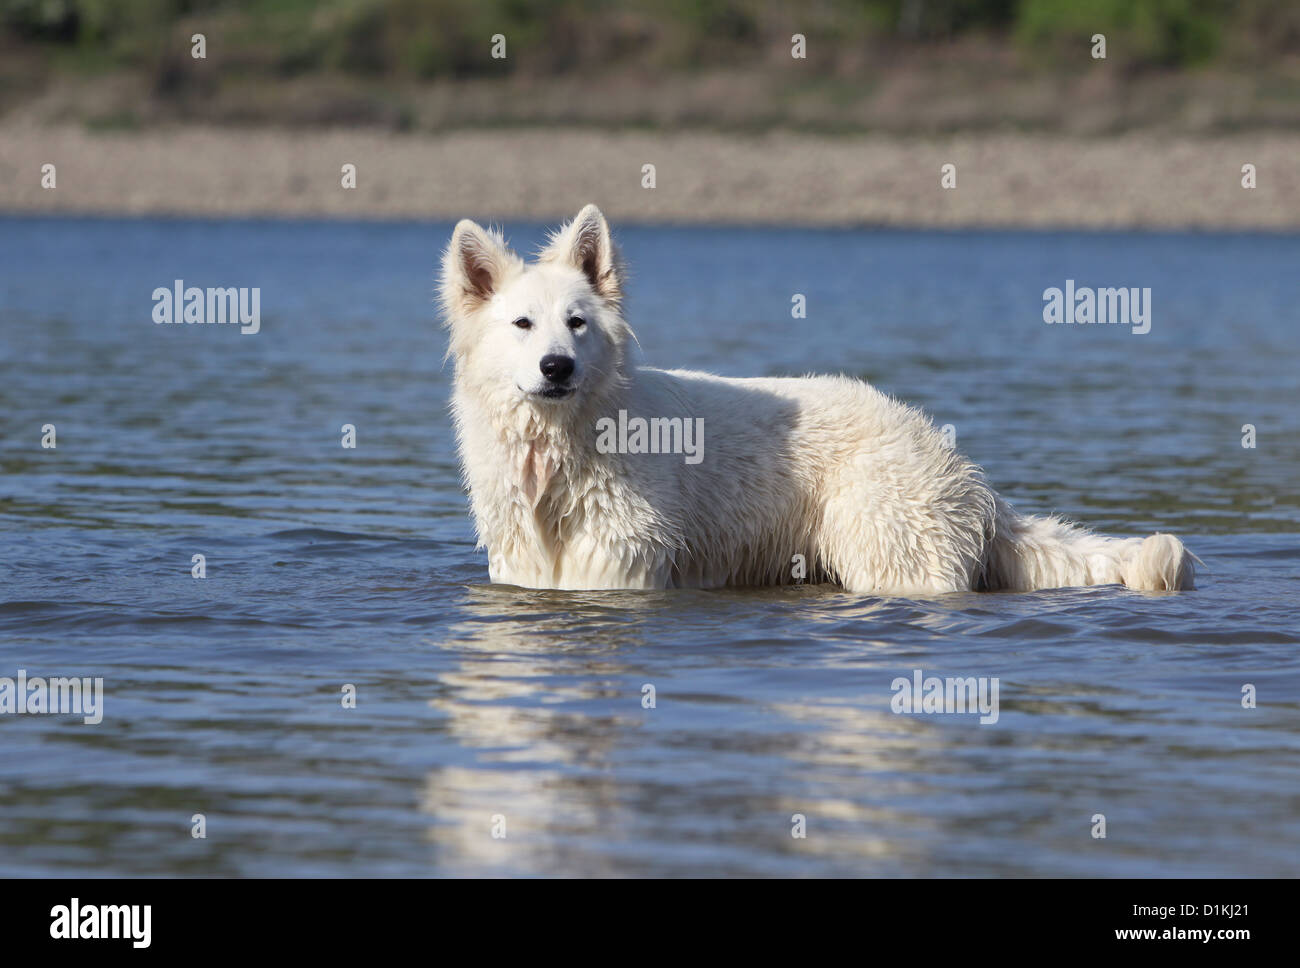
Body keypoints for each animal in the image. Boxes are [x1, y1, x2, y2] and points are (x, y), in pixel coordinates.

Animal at [441, 203, 1190, 592]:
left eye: (577, 322)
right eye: (522, 324)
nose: (556, 367)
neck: (560, 447)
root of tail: (964, 470)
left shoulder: (620, 560)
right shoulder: (525, 563)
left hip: (888, 543)